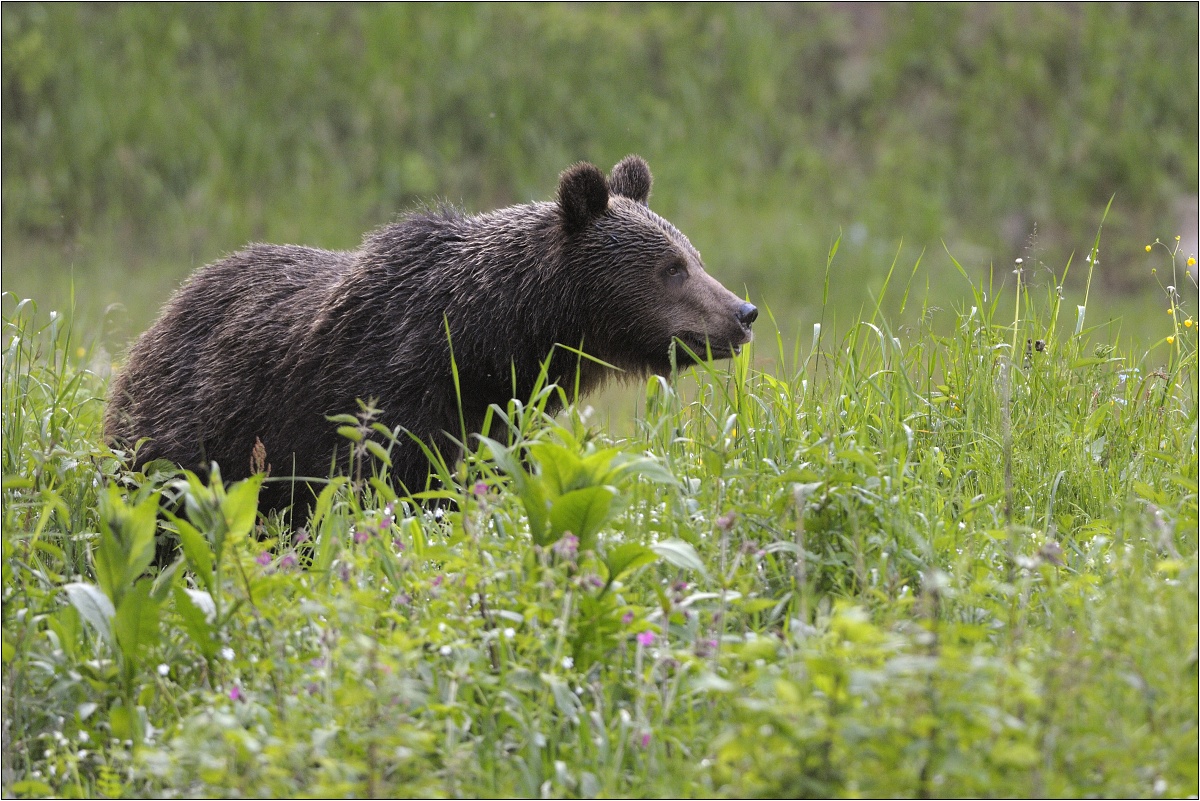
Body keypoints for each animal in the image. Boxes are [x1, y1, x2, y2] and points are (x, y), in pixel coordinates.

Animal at [105, 153, 758, 510]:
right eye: (672, 268)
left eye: (693, 256)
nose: (742, 312)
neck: (490, 340)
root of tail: (168, 308)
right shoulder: (383, 393)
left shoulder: (504, 415)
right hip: (188, 436)